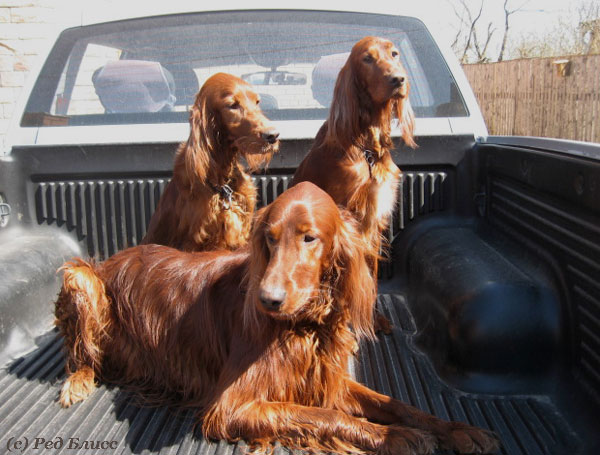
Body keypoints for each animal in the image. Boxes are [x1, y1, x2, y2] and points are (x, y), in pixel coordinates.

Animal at [56, 183, 500, 455]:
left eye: (309, 237)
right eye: (269, 238)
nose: (268, 300)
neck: (305, 326)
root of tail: (112, 259)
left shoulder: (330, 379)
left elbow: (400, 406)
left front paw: (456, 429)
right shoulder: (230, 406)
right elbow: (325, 416)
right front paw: (396, 437)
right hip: (80, 278)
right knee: (81, 355)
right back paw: (77, 382)